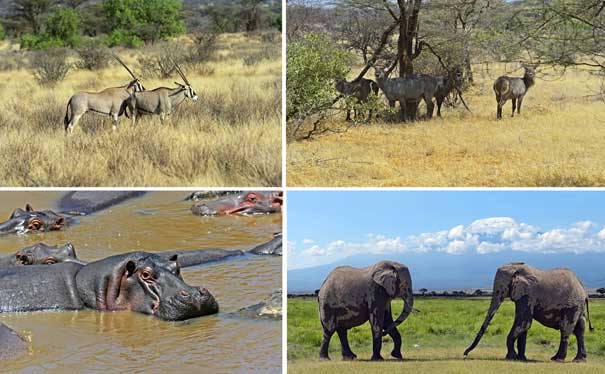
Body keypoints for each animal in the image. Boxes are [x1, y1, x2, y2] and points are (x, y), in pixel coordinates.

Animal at [464, 262, 592, 362]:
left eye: (500, 290)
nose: (465, 354)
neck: (515, 269)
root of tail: (584, 290)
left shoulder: (528, 294)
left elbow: (524, 321)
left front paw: (511, 357)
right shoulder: (522, 295)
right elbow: (523, 324)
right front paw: (521, 358)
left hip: (572, 305)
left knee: (566, 327)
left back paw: (557, 359)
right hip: (578, 306)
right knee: (580, 328)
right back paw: (578, 360)